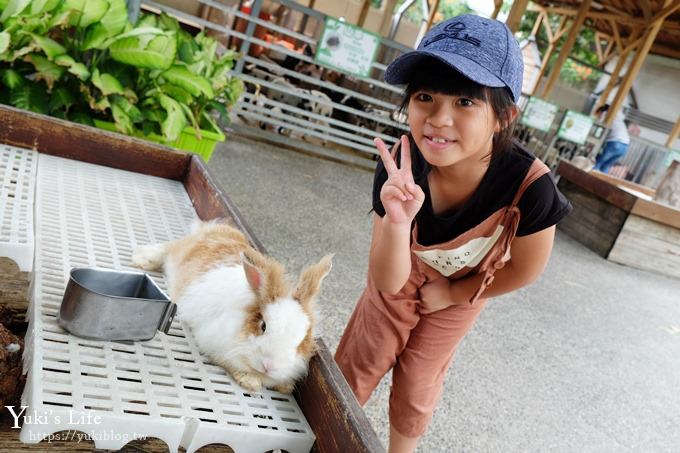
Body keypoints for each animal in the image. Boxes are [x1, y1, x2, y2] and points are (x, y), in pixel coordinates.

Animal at [130, 220, 332, 392]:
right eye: (263, 326)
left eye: (303, 340)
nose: (269, 366)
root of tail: (216, 230)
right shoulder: (212, 343)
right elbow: (232, 365)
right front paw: (250, 382)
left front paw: (285, 387)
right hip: (179, 251)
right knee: (168, 247)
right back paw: (142, 259)